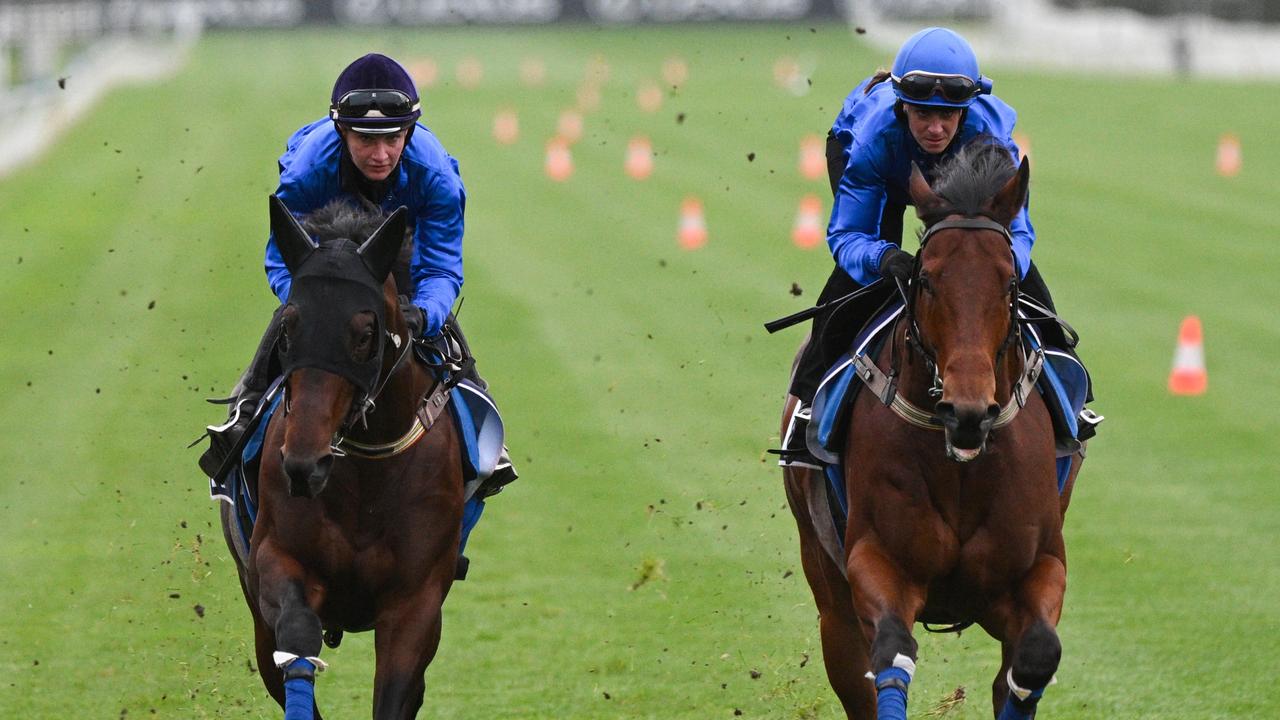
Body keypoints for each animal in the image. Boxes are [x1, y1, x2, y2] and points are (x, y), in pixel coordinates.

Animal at [222, 194, 468, 717]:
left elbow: (396, 692)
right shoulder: (277, 561)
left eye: (365, 332)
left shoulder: (416, 602)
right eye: (288, 327)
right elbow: (296, 638)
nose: (304, 465)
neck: (366, 482)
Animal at [778, 141, 1080, 717]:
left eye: (1009, 281)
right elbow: (892, 655)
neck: (961, 464)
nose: (969, 410)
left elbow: (1035, 659)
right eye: (926, 279)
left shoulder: (1037, 568)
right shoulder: (877, 563)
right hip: (826, 586)